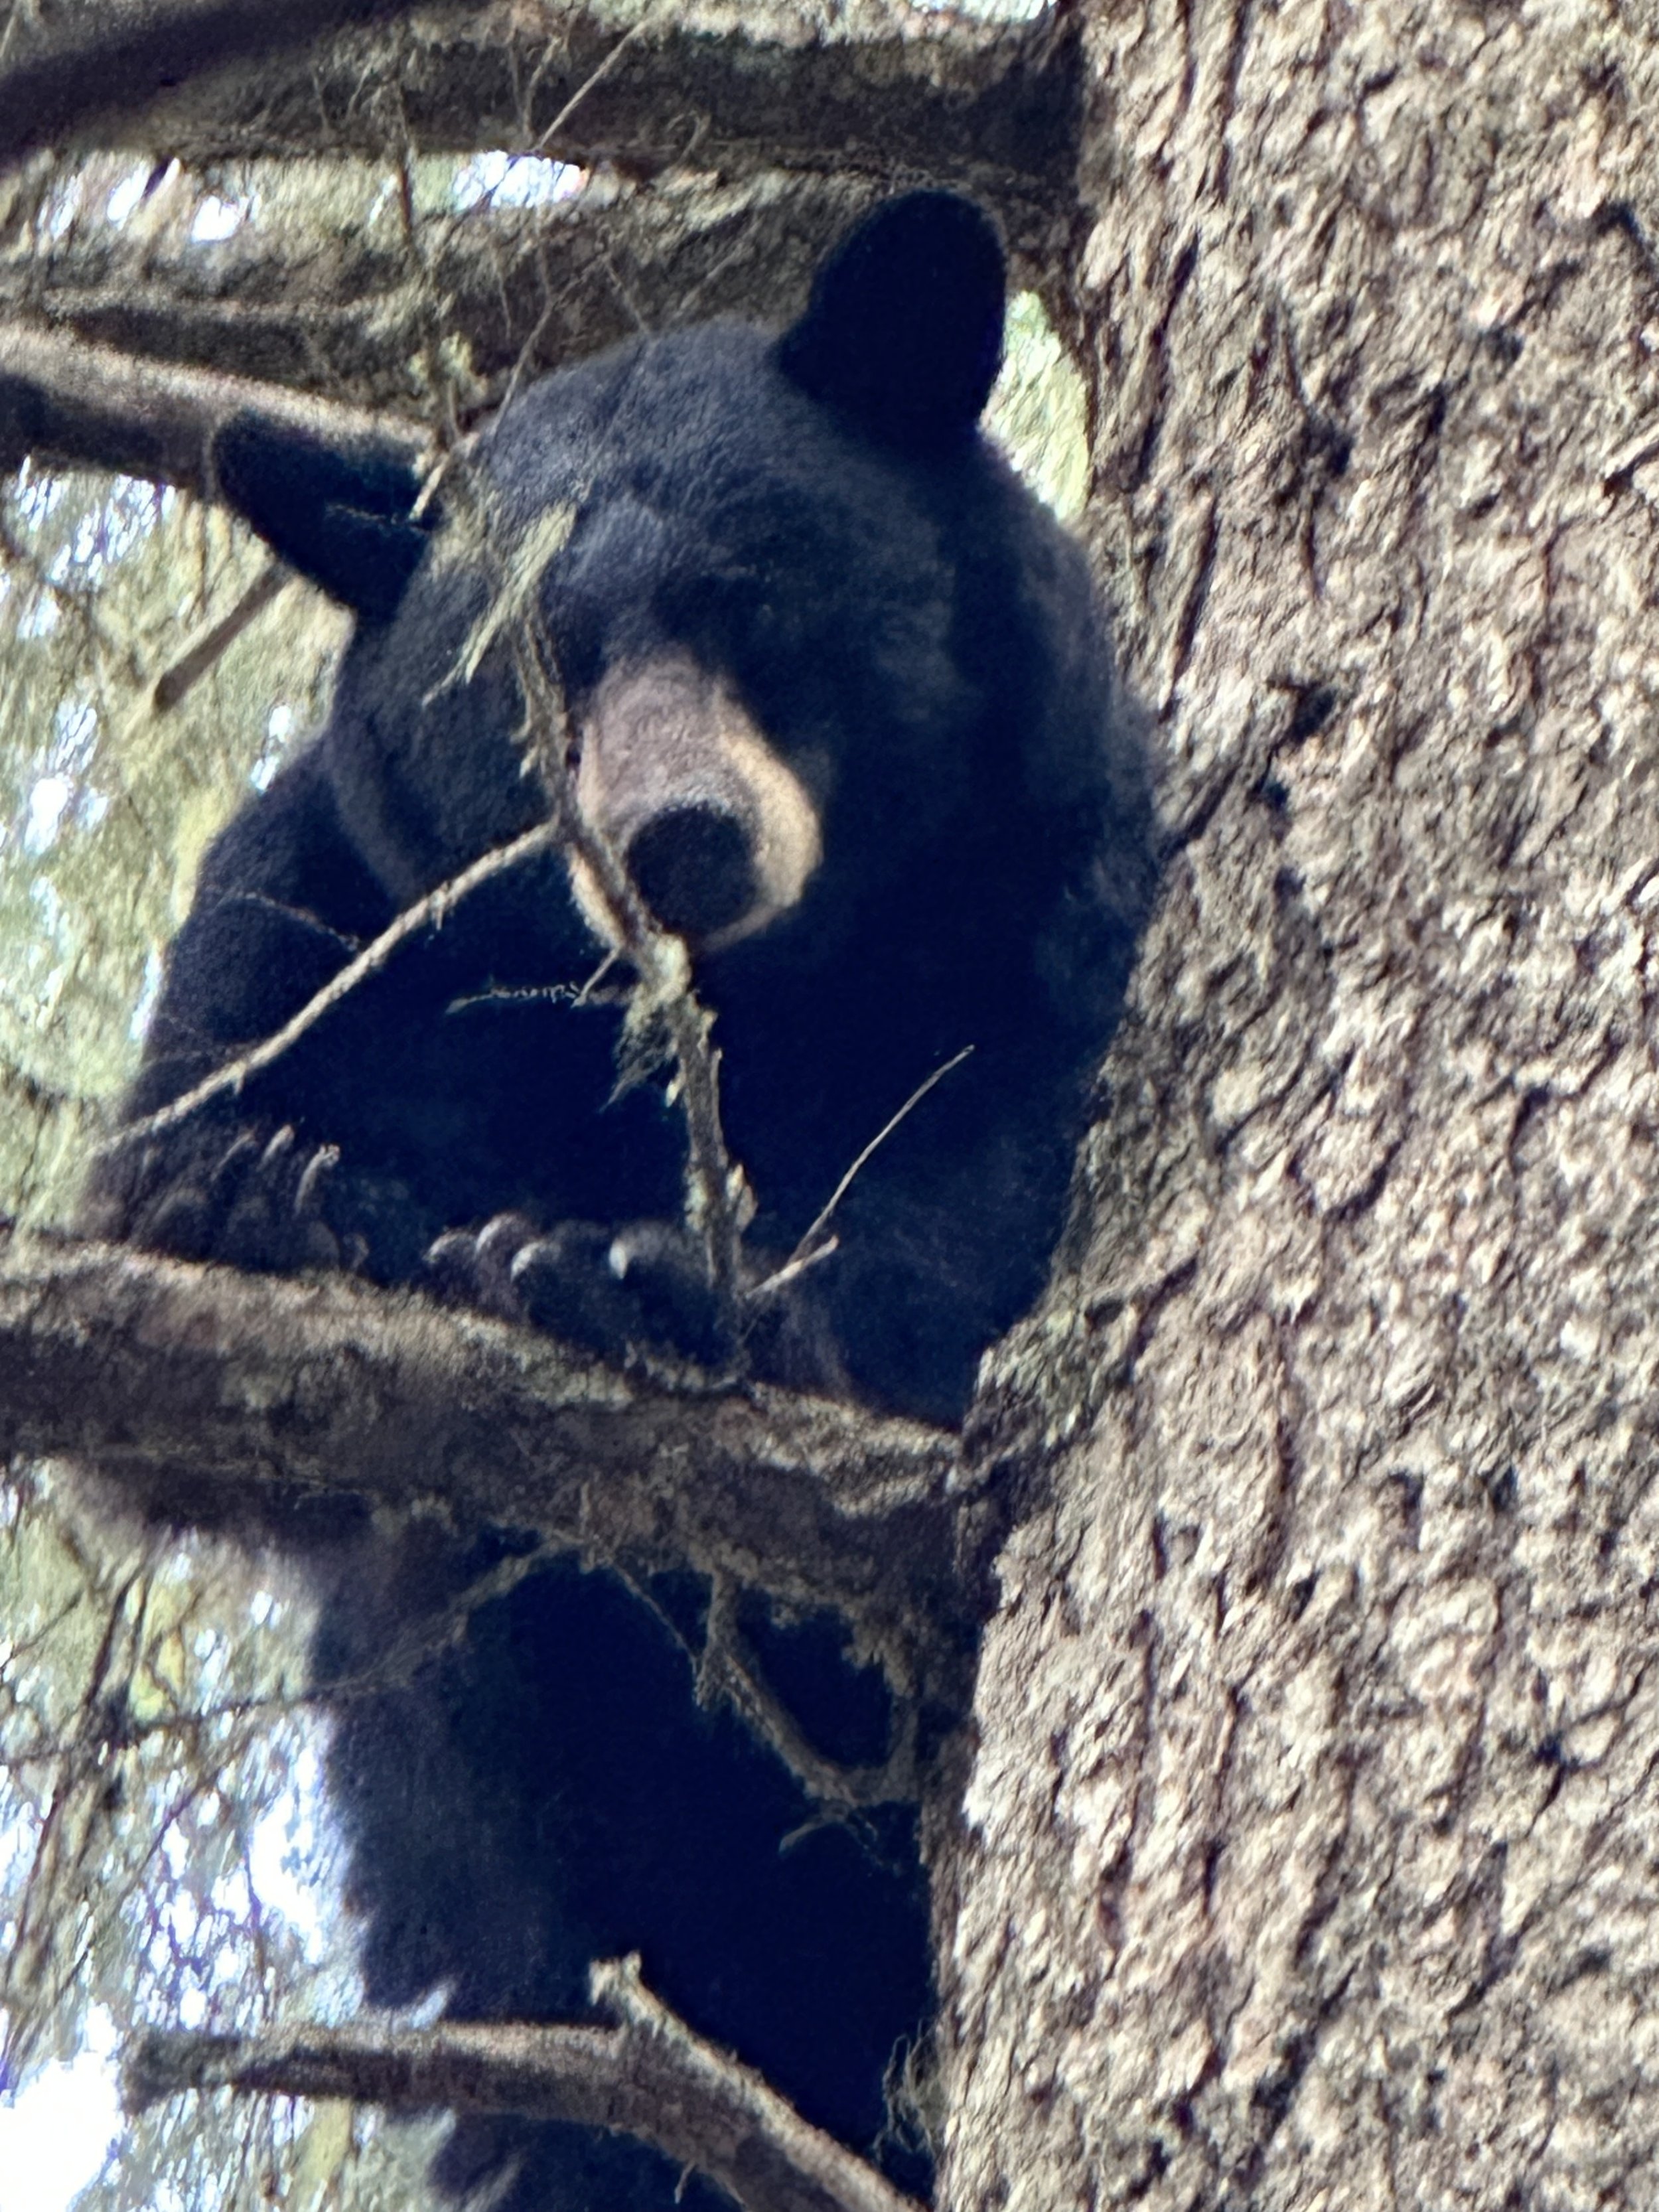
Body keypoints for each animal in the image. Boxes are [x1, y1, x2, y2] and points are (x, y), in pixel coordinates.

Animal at [83, 191, 1152, 2210]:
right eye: (534, 672)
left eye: (756, 604)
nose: (678, 843)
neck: (736, 1021)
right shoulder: (345, 907)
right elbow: (183, 1293)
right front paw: (258, 1192)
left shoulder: (1047, 873)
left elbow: (1007, 1169)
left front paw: (668, 1280)